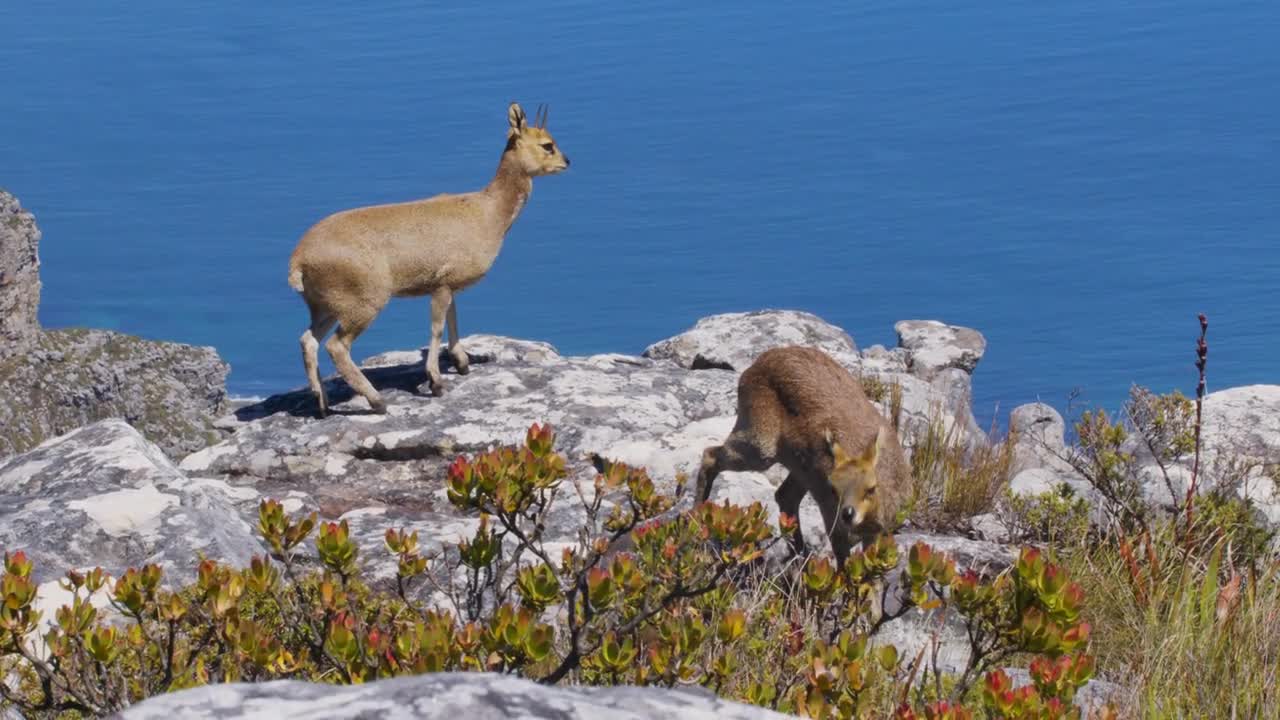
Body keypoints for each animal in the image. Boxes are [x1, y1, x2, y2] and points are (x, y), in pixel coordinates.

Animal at [293, 102, 573, 415]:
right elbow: (437, 329)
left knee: (308, 341)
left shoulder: (448, 285)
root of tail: (298, 260)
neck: (488, 213)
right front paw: (436, 382)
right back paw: (377, 401)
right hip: (363, 304)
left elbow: (453, 319)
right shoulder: (441, 285)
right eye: (547, 145)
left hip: (326, 307)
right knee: (336, 347)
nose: (567, 161)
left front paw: (462, 363)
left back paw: (322, 404)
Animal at [691, 345, 911, 563]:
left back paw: (801, 556)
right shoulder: (833, 522)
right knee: (709, 455)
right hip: (760, 448)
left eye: (870, 488)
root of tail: (761, 361)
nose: (847, 514)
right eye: (833, 488)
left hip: (799, 469)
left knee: (785, 496)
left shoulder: (875, 534)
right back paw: (696, 520)